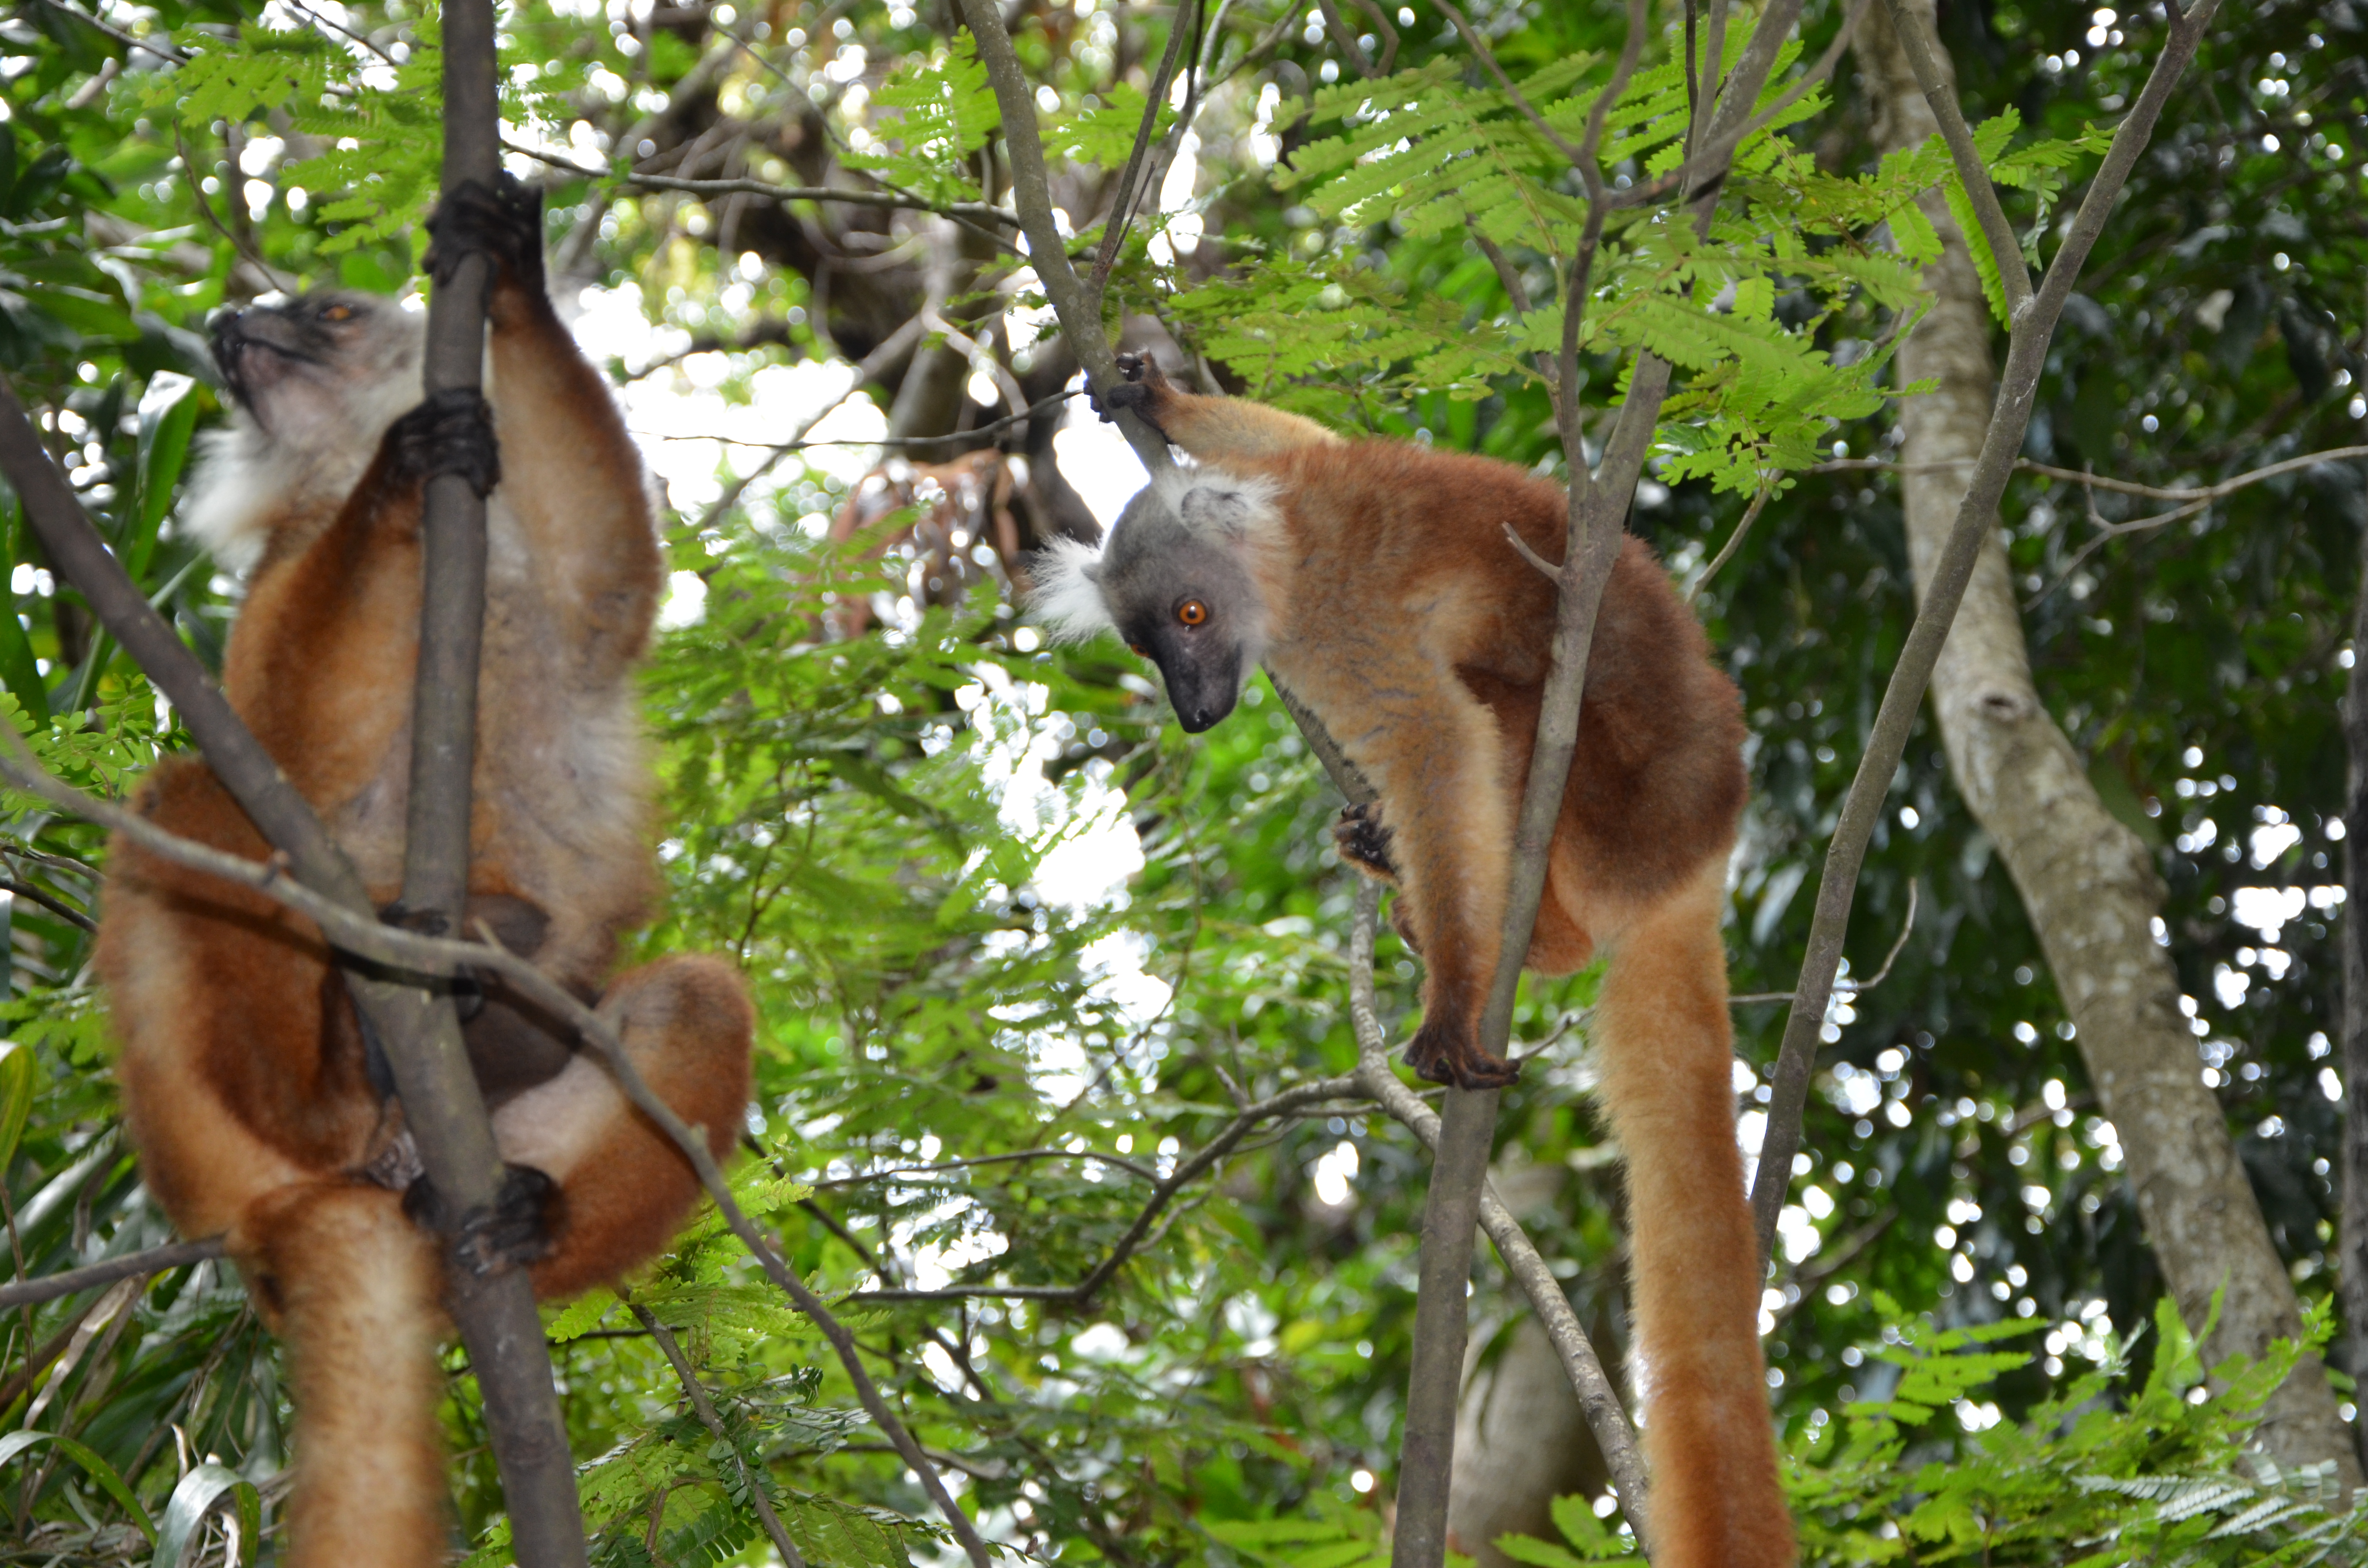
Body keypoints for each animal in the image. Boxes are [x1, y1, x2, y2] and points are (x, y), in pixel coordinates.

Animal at [93, 175, 754, 1568]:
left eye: (327, 315)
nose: (232, 328)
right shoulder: (287, 569)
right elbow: (278, 737)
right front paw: (403, 477)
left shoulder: (564, 590)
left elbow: (610, 581)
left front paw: (510, 271)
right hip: (223, 1143)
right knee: (186, 797)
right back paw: (340, 1068)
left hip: (492, 1145)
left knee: (690, 1002)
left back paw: (522, 1204)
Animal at [1029, 354, 1789, 1568]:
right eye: (1151, 645)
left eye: (1192, 618)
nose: (1192, 712)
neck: (1288, 542)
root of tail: (1696, 855)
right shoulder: (1305, 475)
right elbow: (1296, 431)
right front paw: (1157, 398)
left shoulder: (1340, 625)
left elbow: (1437, 738)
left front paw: (1451, 1006)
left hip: (1605, 806)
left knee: (1501, 705)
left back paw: (1496, 926)